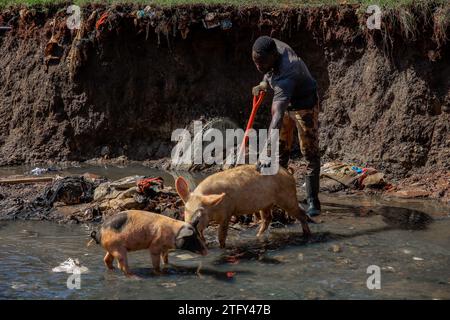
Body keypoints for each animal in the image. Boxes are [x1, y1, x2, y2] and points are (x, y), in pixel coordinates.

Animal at [174, 164, 312, 249]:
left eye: (200, 213)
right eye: (185, 210)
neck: (213, 208)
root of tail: (289, 173)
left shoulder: (227, 213)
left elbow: (221, 235)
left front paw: (222, 248)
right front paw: (205, 243)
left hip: (287, 197)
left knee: (302, 213)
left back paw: (307, 235)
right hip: (266, 203)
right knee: (268, 218)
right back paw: (257, 236)